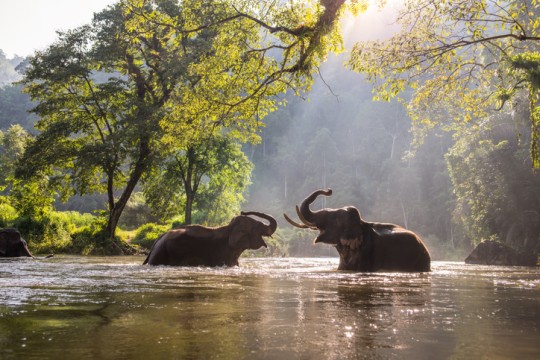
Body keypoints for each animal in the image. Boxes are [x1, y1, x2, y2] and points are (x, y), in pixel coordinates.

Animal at [143, 211, 276, 268]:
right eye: (258, 226)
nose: (243, 211)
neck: (229, 228)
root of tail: (156, 241)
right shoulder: (221, 254)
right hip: (160, 254)